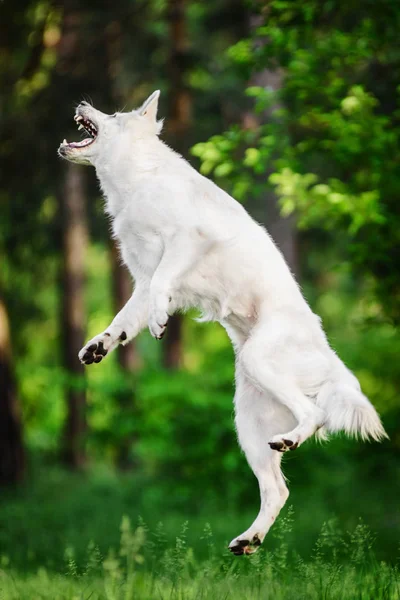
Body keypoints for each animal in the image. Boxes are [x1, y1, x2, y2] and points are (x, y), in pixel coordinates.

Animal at [57, 91, 386, 556]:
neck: (138, 179)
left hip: (261, 362)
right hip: (249, 422)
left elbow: (163, 285)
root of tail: (331, 361)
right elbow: (124, 319)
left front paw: (159, 321)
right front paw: (99, 345)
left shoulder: (185, 241)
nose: (81, 102)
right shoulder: (141, 280)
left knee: (315, 414)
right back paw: (250, 538)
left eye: (115, 115)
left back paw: (292, 440)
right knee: (278, 489)